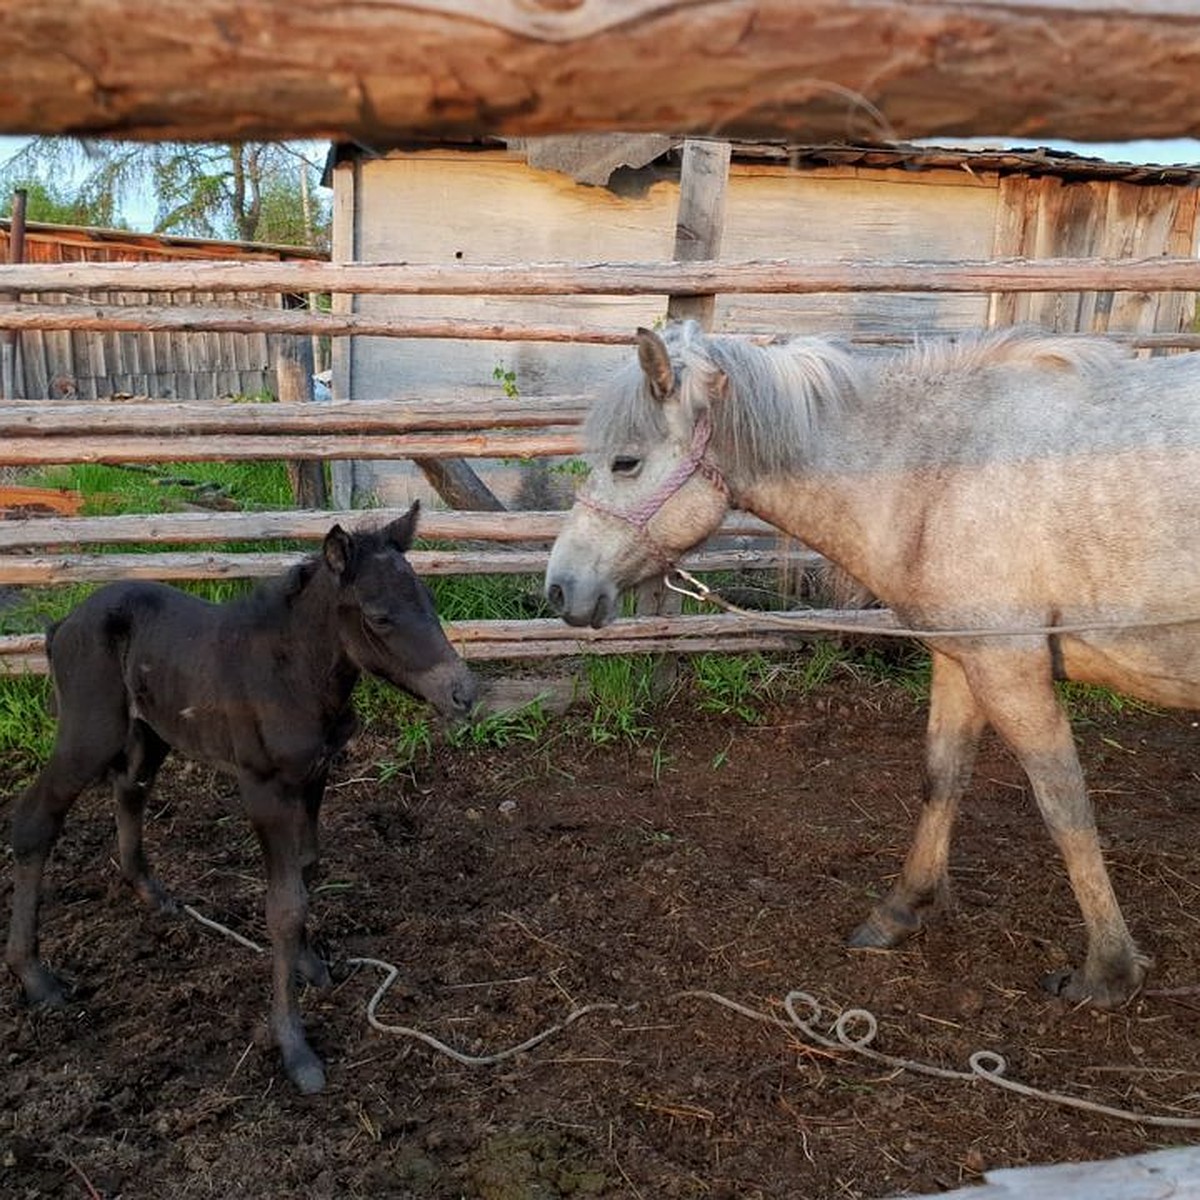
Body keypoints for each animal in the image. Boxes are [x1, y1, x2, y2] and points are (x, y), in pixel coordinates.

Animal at [9, 506, 480, 1099]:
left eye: (429, 600)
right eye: (380, 616)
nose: (464, 694)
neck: (294, 674)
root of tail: (62, 625)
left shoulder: (315, 775)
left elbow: (306, 869)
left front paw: (310, 964)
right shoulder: (263, 787)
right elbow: (283, 905)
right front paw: (296, 1049)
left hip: (151, 731)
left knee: (131, 788)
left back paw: (151, 893)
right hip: (87, 734)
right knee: (35, 820)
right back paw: (36, 977)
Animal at [547, 324, 1200, 1008]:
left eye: (626, 462)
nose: (560, 589)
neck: (943, 472)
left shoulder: (1009, 668)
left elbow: (1065, 807)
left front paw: (1107, 972)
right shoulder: (962, 661)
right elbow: (942, 778)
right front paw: (901, 911)